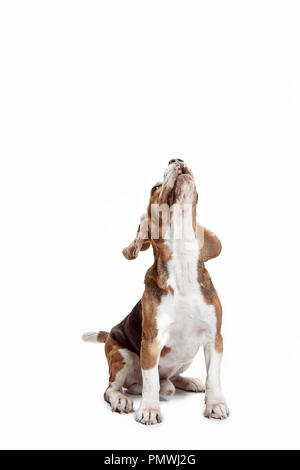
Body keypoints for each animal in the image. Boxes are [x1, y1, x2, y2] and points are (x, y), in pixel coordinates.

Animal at [82, 159, 227, 426]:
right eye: (154, 188)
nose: (176, 159)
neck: (182, 263)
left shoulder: (215, 337)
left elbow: (213, 377)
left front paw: (215, 404)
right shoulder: (151, 341)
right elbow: (150, 381)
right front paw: (149, 409)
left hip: (185, 358)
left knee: (170, 379)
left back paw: (189, 381)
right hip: (122, 356)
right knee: (115, 388)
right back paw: (123, 399)